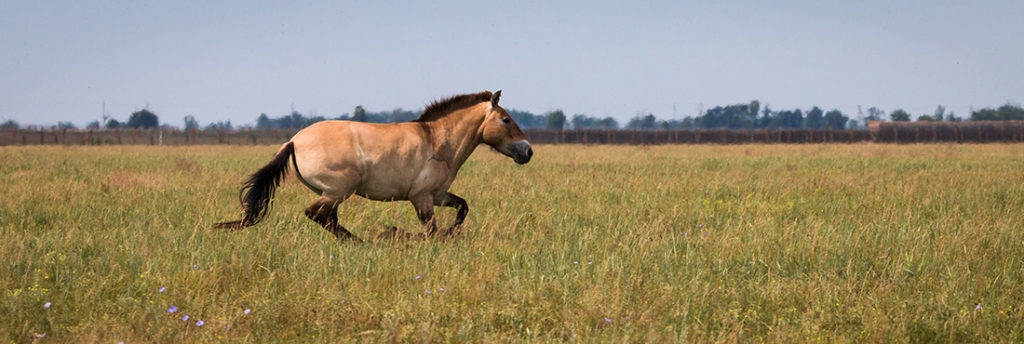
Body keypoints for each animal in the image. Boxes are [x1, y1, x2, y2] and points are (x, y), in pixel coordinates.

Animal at [216, 90, 536, 240]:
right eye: (506, 119)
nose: (528, 151)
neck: (438, 142)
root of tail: (294, 140)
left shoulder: (438, 195)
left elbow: (462, 208)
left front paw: (448, 233)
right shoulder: (422, 198)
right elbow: (430, 230)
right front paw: (401, 234)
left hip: (334, 193)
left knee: (327, 218)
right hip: (338, 190)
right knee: (317, 214)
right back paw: (360, 242)